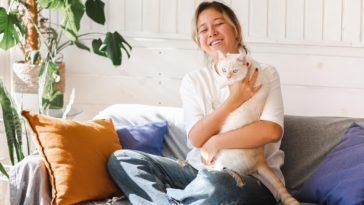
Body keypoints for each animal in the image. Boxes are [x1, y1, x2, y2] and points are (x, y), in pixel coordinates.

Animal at [213, 50, 298, 205]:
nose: (228, 75)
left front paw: (222, 84)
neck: (251, 66)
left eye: (235, 71)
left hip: (226, 156)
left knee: (222, 167)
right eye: (224, 69)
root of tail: (261, 159)